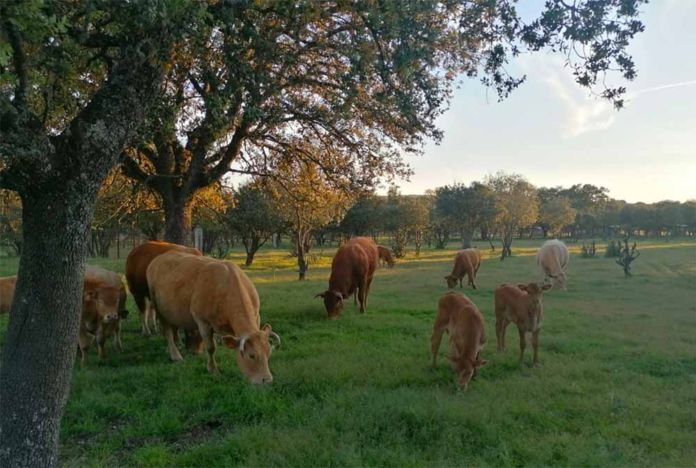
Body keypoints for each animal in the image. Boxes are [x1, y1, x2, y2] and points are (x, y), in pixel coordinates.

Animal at [147, 251, 280, 384]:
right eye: (251, 355)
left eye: (269, 353)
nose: (267, 380)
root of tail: (159, 258)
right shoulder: (203, 322)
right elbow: (211, 347)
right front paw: (213, 369)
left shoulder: (257, 316)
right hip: (158, 308)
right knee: (167, 331)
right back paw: (175, 355)